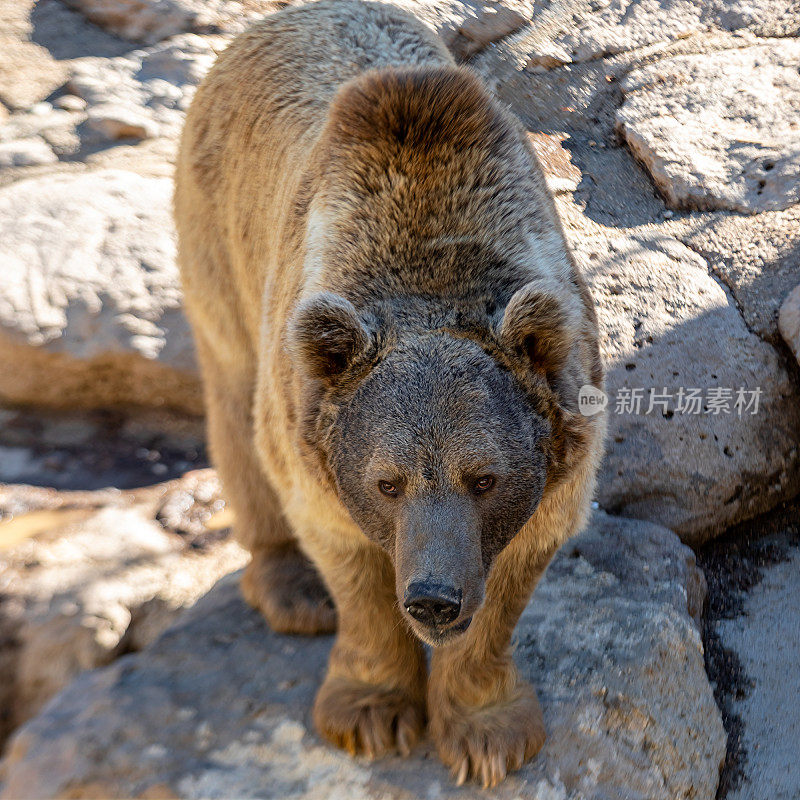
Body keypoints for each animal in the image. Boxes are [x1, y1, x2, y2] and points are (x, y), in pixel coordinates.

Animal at [173, 0, 600, 788]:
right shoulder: (311, 423)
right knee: (235, 407)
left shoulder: (565, 433)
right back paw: (291, 588)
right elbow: (347, 561)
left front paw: (488, 733)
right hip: (218, 235)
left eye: (484, 478)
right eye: (386, 481)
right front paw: (370, 714)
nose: (432, 598)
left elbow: (511, 579)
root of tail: (278, 19)